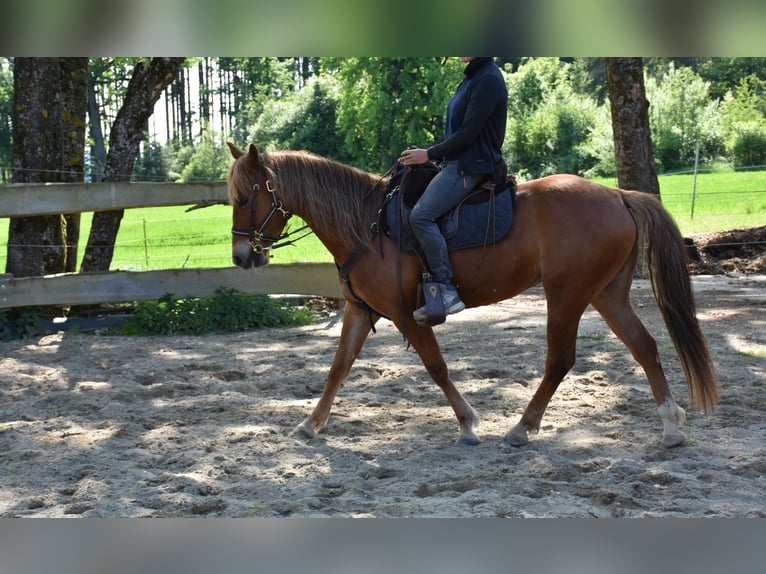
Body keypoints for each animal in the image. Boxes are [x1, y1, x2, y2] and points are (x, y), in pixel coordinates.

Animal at [226, 143, 719, 449]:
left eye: (246, 196)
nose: (240, 255)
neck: (366, 224)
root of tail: (617, 194)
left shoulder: (406, 315)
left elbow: (436, 367)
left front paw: (467, 423)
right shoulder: (358, 311)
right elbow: (337, 368)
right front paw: (311, 424)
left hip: (566, 295)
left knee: (560, 359)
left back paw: (522, 427)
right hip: (606, 294)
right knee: (645, 346)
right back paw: (670, 427)